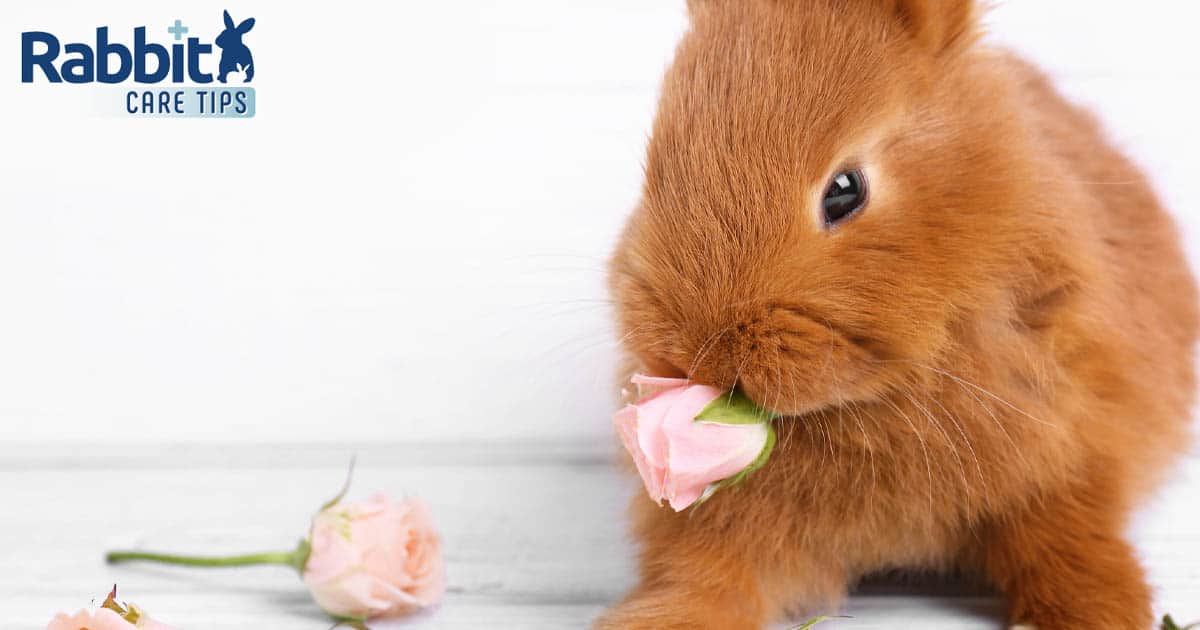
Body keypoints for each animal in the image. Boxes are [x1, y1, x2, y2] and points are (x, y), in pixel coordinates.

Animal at [600, 1, 1200, 628]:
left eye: (845, 191)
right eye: (654, 171)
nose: (701, 351)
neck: (871, 400)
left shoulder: (1068, 448)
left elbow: (1069, 538)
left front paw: (1098, 613)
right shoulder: (727, 529)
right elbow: (703, 574)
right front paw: (661, 618)